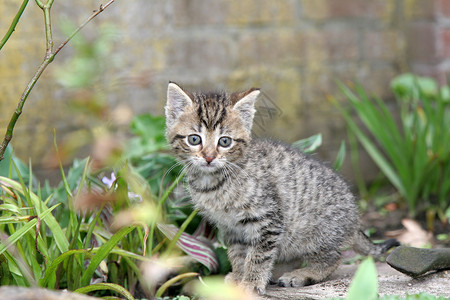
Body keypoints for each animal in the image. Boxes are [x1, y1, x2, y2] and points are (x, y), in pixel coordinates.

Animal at [164, 81, 398, 292]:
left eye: (224, 141)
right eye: (195, 139)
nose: (209, 157)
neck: (213, 182)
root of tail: (355, 219)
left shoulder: (268, 219)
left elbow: (258, 255)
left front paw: (251, 282)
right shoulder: (231, 228)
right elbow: (238, 254)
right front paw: (239, 277)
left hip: (315, 234)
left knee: (333, 257)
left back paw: (303, 274)